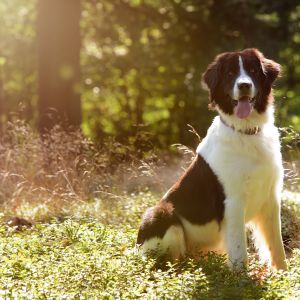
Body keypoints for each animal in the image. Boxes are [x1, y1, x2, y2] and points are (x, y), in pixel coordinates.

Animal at [137, 47, 288, 270]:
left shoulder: (271, 198)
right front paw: (241, 278)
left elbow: (277, 247)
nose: (244, 85)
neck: (246, 132)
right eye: (230, 73)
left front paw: (283, 274)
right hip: (161, 213)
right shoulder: (233, 202)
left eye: (252, 70)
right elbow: (239, 250)